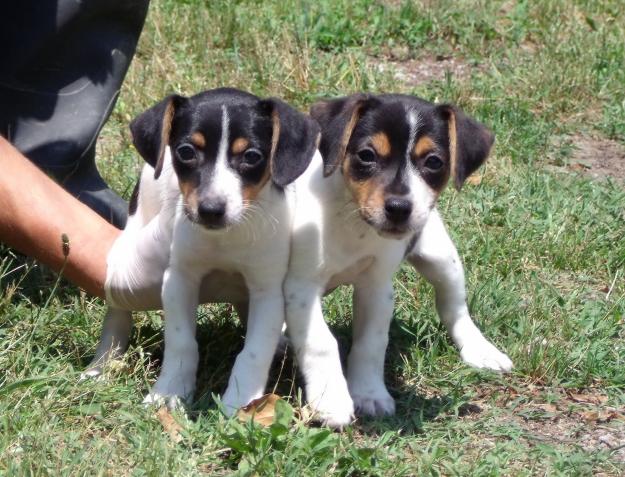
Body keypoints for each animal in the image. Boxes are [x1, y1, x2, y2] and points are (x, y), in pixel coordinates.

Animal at [86, 86, 320, 412]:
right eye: (186, 151)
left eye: (251, 156)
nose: (211, 210)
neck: (224, 239)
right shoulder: (179, 280)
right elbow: (182, 343)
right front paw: (169, 393)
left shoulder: (268, 290)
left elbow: (255, 350)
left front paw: (240, 400)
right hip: (134, 231)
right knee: (117, 310)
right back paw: (103, 363)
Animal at [286, 94, 516, 428]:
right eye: (366, 155)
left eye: (434, 161)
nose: (398, 208)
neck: (355, 223)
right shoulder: (302, 287)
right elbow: (321, 342)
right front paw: (331, 400)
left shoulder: (377, 288)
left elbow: (371, 343)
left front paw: (369, 394)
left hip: (441, 257)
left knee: (454, 308)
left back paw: (481, 349)